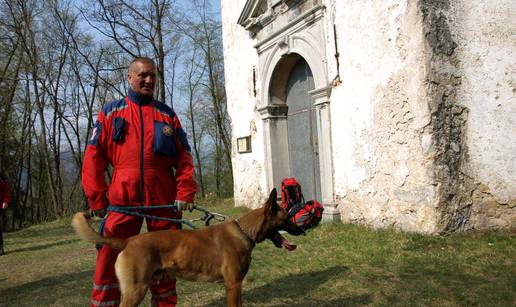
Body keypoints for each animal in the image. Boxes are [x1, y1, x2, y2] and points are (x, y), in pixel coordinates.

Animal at [73, 189, 306, 306]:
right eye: (286, 219)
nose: (303, 229)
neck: (243, 231)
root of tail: (128, 240)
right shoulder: (233, 285)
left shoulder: (236, 285)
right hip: (136, 290)